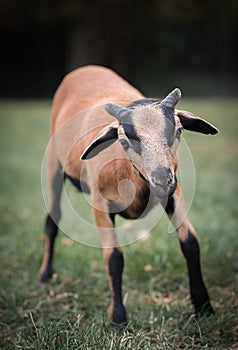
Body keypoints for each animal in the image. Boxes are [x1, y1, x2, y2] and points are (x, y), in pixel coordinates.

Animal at [39, 65, 219, 328]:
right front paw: (117, 320)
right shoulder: (100, 204)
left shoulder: (175, 193)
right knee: (52, 220)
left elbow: (190, 243)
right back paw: (45, 274)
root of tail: (85, 68)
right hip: (54, 163)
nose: (161, 179)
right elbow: (114, 258)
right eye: (125, 139)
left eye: (178, 130)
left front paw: (204, 307)